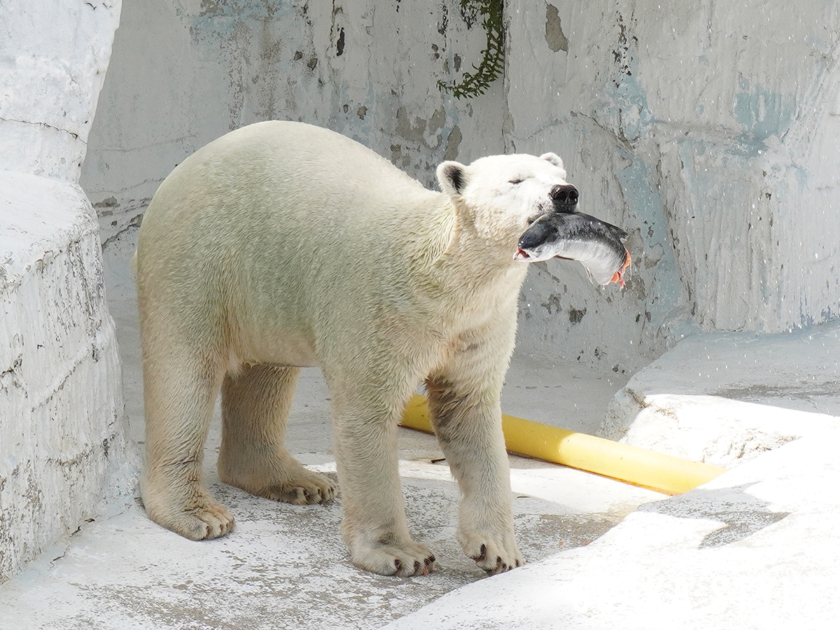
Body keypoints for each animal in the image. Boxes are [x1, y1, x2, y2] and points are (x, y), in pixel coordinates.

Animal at [138, 121, 580, 580]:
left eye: (560, 175)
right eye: (516, 181)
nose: (565, 193)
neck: (441, 281)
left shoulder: (478, 326)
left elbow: (469, 411)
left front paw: (498, 549)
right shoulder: (381, 309)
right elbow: (367, 415)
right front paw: (400, 553)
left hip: (269, 288)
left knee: (267, 373)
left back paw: (296, 480)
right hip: (200, 255)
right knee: (186, 371)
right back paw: (198, 513)